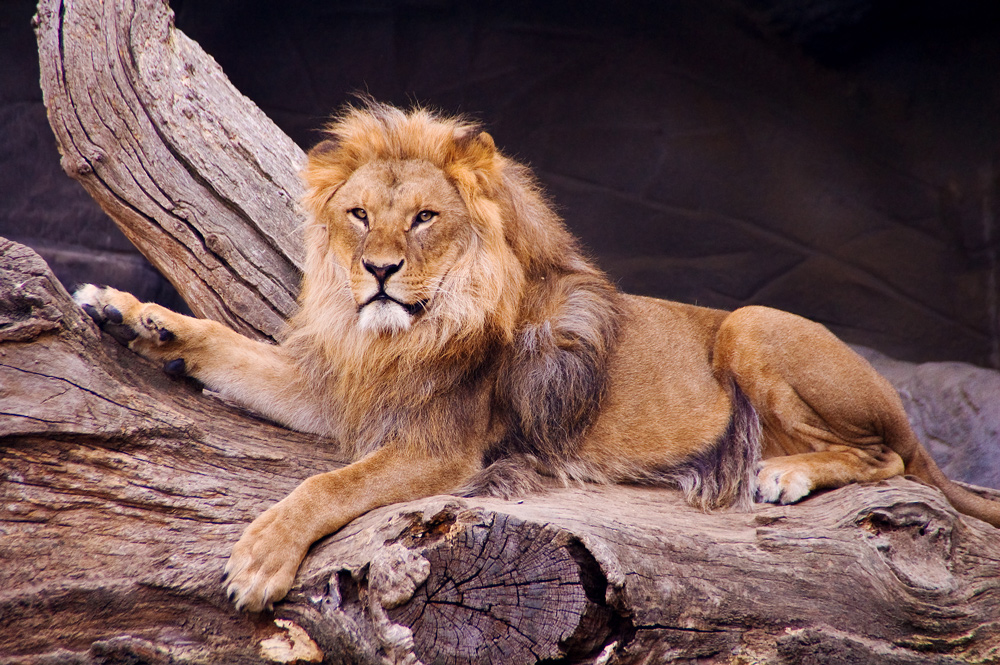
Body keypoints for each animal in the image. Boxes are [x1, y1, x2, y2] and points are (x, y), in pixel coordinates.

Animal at [74, 100, 1000, 612]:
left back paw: (782, 474)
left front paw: (260, 558)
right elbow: (227, 346)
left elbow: (326, 484)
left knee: (890, 459)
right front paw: (130, 315)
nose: (378, 271)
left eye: (424, 218)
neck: (400, 334)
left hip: (751, 325)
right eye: (360, 214)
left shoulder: (441, 449)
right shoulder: (334, 387)